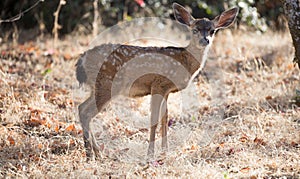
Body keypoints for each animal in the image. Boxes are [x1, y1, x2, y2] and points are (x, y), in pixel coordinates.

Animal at [76, 2, 238, 159]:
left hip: (98, 86)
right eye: (194, 30)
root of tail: (82, 59)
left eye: (212, 30)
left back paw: (97, 153)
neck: (184, 61)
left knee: (81, 108)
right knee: (86, 112)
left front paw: (165, 151)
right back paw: (90, 154)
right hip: (108, 83)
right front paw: (150, 154)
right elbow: (154, 119)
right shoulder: (158, 85)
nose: (205, 40)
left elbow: (164, 118)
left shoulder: (167, 90)